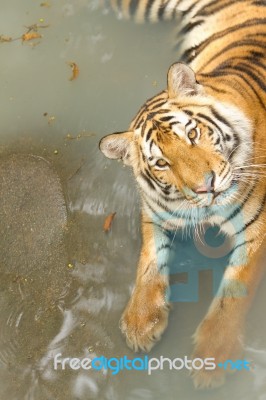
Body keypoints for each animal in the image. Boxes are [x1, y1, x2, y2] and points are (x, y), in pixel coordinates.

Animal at [98, 0, 264, 390]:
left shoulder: (257, 229)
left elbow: (234, 291)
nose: (207, 186)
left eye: (192, 133)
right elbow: (149, 261)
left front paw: (213, 358)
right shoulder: (156, 213)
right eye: (161, 162)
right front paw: (140, 322)